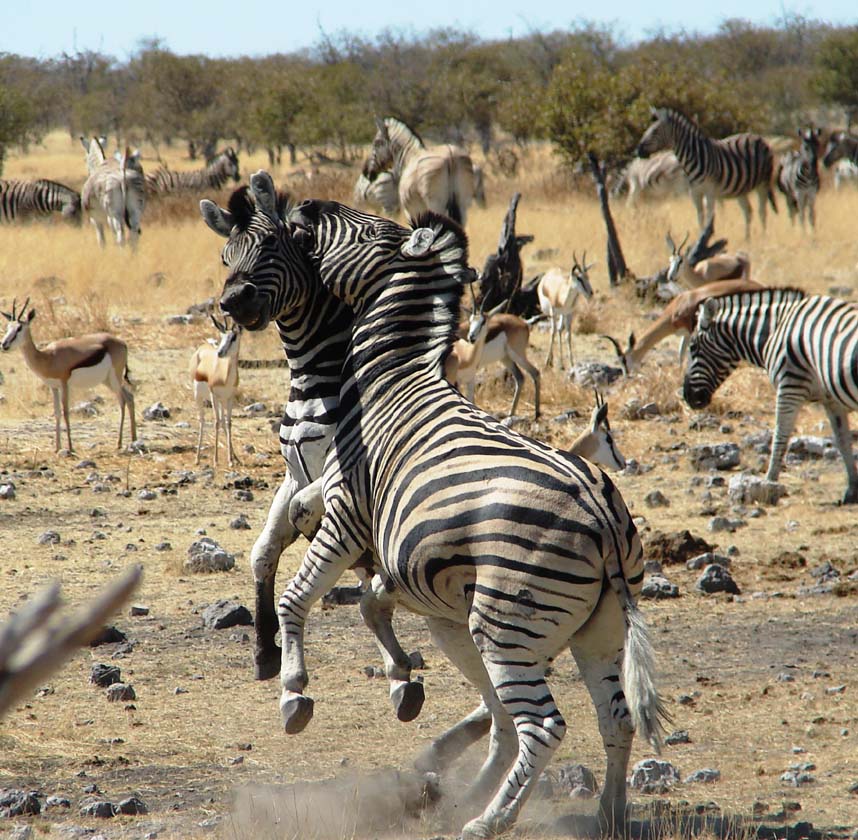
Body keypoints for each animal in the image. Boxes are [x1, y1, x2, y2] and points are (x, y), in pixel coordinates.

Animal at [211, 171, 664, 840]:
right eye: (230, 253)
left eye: (296, 238)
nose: (302, 204)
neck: (389, 374)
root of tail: (602, 515)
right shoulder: (325, 491)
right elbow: (293, 548)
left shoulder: (348, 509)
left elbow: (298, 591)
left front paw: (294, 691)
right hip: (595, 628)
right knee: (613, 718)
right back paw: (603, 815)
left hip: (505, 621)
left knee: (539, 724)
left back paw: (485, 818)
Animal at [636, 108, 776, 238]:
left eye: (654, 131)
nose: (638, 151)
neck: (693, 159)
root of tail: (758, 137)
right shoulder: (695, 193)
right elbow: (700, 217)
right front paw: (700, 238)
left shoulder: (710, 192)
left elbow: (709, 217)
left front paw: (708, 238)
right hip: (741, 189)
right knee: (748, 211)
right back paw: (747, 239)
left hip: (763, 183)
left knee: (762, 211)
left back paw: (763, 237)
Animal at [684, 288, 858, 506]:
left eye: (693, 347)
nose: (687, 397)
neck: (776, 329)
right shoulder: (831, 399)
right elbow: (843, 441)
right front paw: (852, 490)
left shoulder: (789, 386)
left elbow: (780, 436)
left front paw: (769, 483)